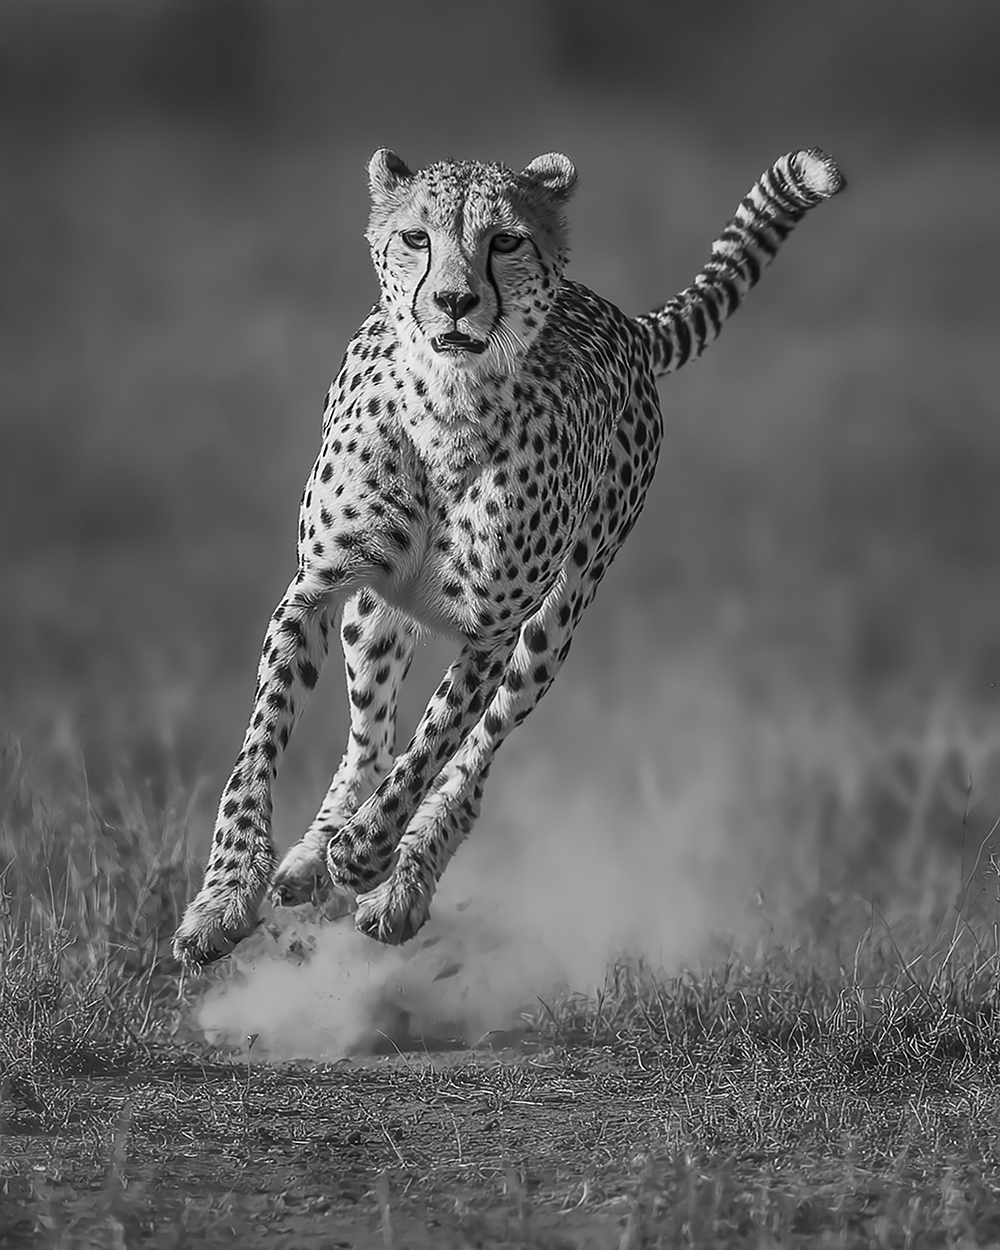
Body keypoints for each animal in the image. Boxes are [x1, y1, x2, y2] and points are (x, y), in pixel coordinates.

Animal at [173, 144, 844, 967]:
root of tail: (619, 316)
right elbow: (259, 750)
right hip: (373, 616)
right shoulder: (316, 588)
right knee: (370, 738)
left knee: (472, 762)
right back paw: (309, 858)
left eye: (505, 241)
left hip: (557, 621)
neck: (449, 408)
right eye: (417, 237)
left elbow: (433, 748)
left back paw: (399, 882)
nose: (455, 301)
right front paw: (225, 899)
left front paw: (365, 854)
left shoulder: (492, 634)